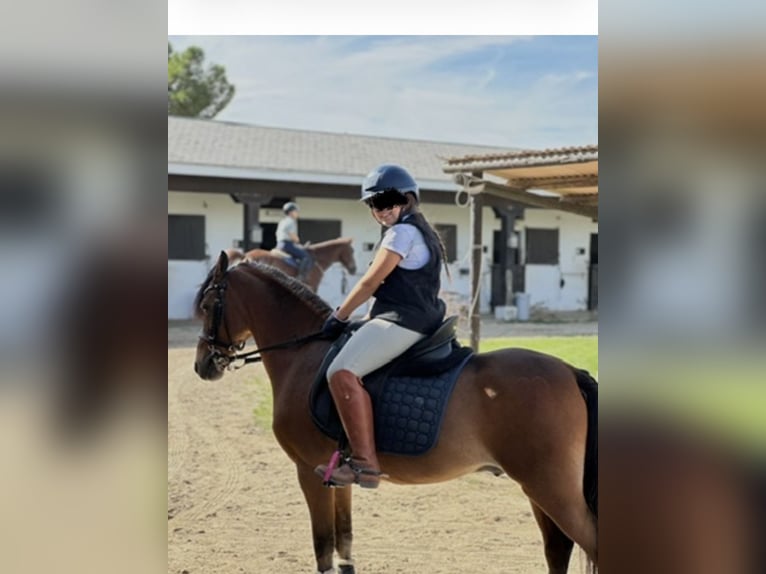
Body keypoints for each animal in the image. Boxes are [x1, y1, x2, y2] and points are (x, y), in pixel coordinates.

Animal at [193, 251, 598, 574]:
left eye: (209, 306)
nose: (202, 366)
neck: (303, 353)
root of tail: (568, 370)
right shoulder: (336, 477)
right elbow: (345, 545)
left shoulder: (308, 471)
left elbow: (324, 550)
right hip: (538, 490)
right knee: (557, 550)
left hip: (550, 488)